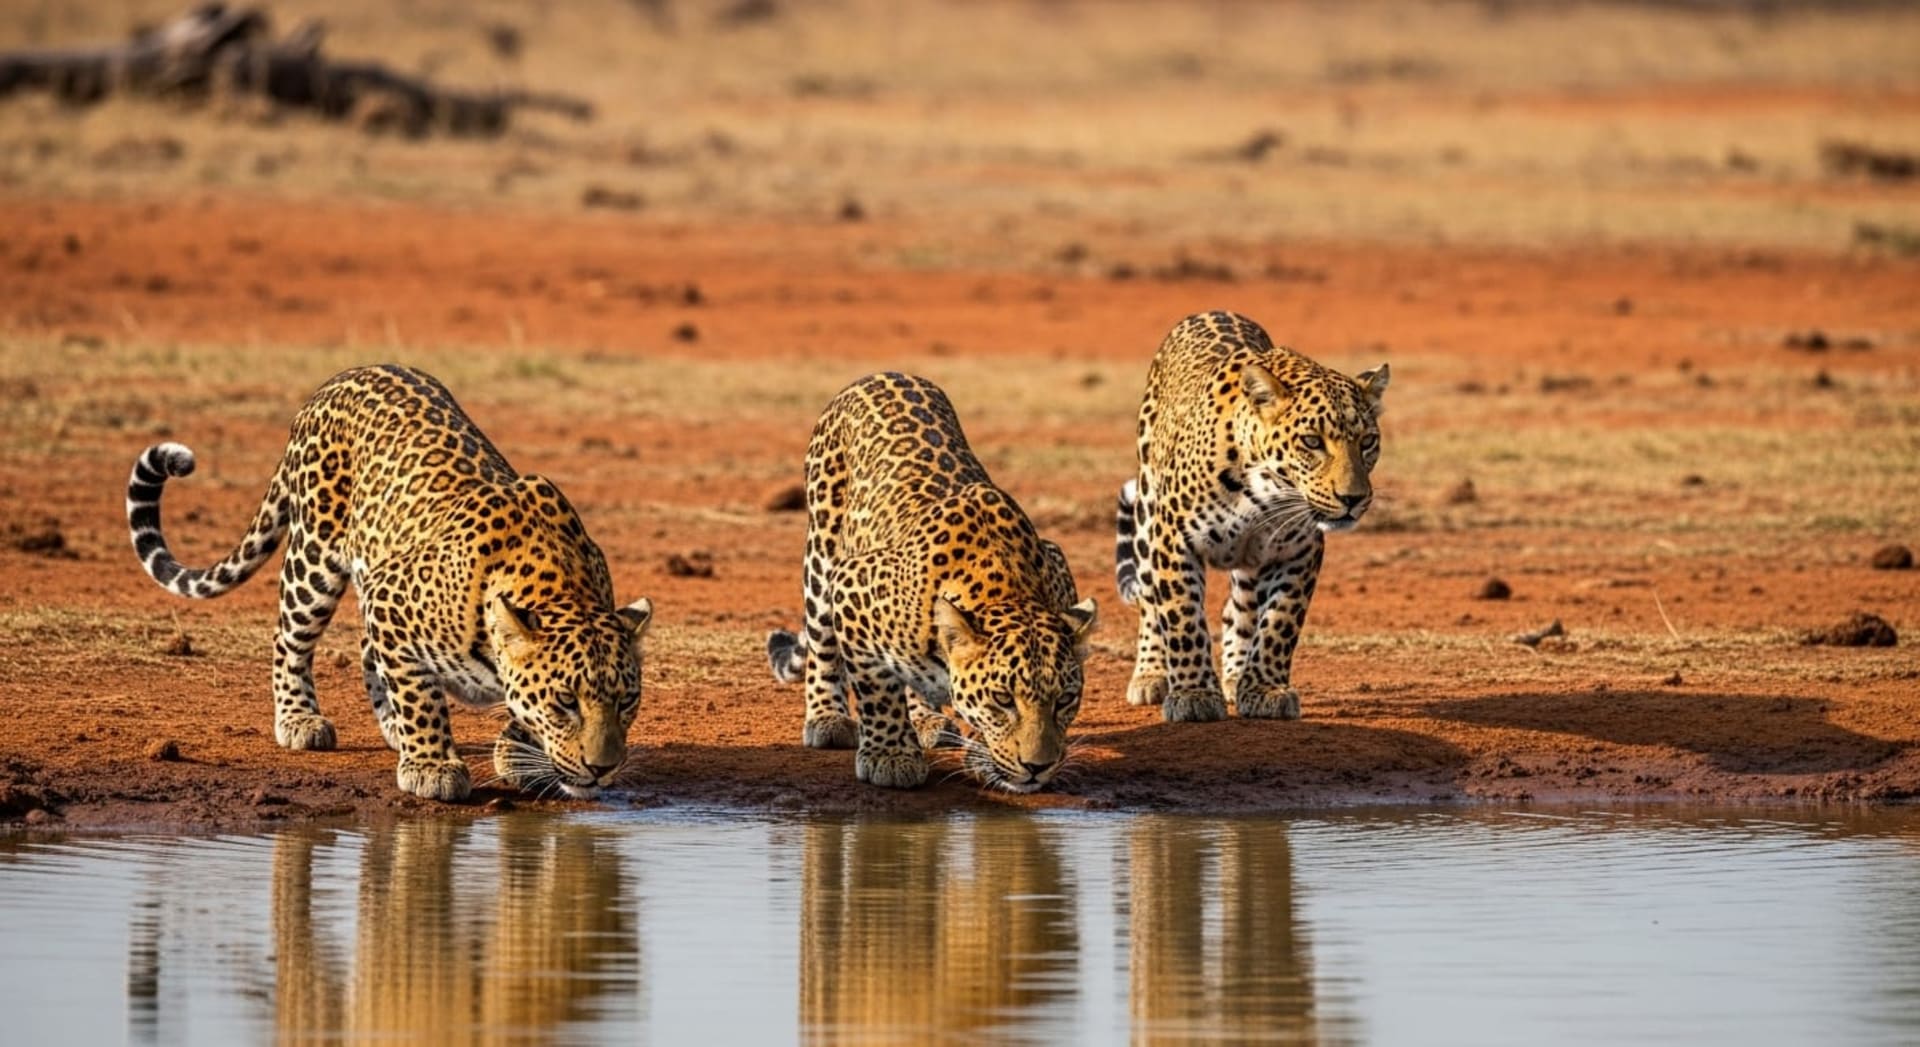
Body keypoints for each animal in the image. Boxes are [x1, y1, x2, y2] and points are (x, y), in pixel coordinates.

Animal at [125, 363, 654, 802]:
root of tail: (338, 379)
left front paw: (518, 752)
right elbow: (421, 697)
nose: (603, 769)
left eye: (627, 701)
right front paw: (433, 766)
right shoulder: (390, 599)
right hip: (314, 559)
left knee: (365, 649)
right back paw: (302, 719)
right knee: (290, 638)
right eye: (566, 701)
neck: (562, 583)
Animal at [765, 372, 1098, 792]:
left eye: (1065, 699)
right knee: (822, 641)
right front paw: (890, 756)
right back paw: (828, 718)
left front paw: (982, 754)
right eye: (1003, 699)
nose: (1038, 766)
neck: (1005, 582)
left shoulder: (1055, 560)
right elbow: (877, 690)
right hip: (822, 550)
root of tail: (883, 374)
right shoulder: (853, 586)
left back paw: (925, 718)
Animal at [1115, 311, 1388, 724]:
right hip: (1147, 513)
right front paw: (1193, 694)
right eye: (1312, 441)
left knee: (1238, 608)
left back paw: (1234, 675)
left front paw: (1263, 689)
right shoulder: (1172, 539)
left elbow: (1279, 623)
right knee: (1150, 601)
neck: (1263, 493)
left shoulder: (1300, 551)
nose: (1353, 499)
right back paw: (1151, 674)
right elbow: (1182, 616)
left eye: (1368, 441)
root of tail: (1210, 311)